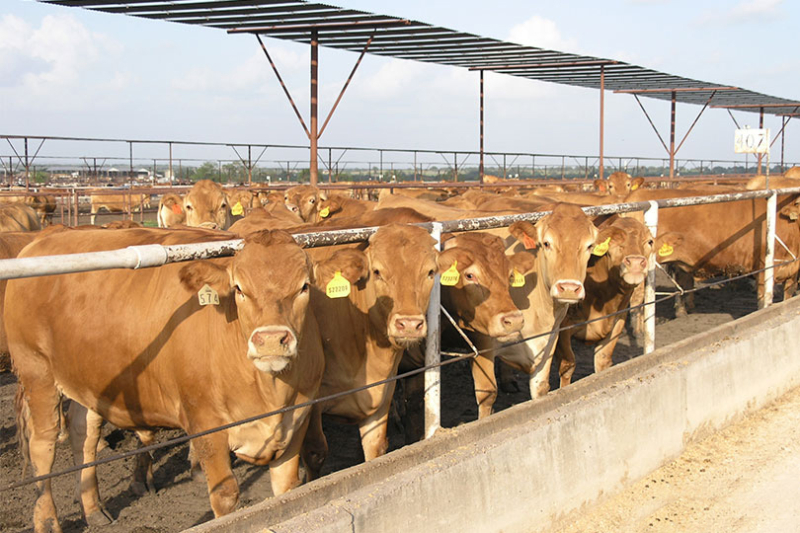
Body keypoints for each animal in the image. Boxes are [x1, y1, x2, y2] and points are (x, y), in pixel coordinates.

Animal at [8, 228, 325, 530]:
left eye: (304, 286)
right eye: (239, 289)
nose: (271, 340)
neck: (269, 394)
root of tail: (42, 240)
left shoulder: (296, 421)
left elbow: (288, 490)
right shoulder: (205, 424)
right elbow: (225, 496)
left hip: (89, 380)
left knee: (82, 433)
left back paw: (93, 509)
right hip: (37, 370)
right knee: (42, 446)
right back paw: (48, 522)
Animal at [554, 217, 683, 384]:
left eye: (649, 241)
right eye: (613, 241)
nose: (635, 263)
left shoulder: (617, 320)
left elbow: (603, 361)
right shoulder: (562, 327)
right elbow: (568, 365)